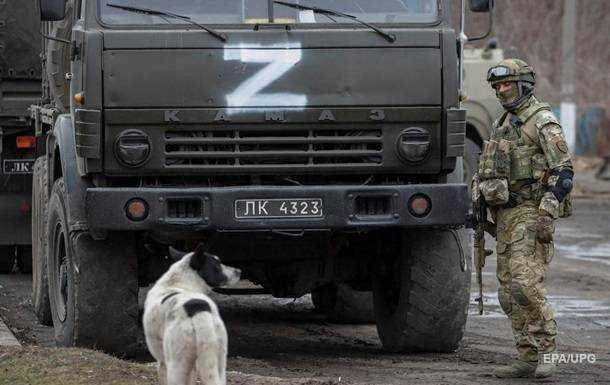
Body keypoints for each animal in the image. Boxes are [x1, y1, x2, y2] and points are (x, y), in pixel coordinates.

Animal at [142, 244, 240, 382]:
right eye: (218, 265)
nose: (239, 271)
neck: (178, 282)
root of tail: (198, 310)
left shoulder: (162, 362)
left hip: (176, 365)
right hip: (219, 362)